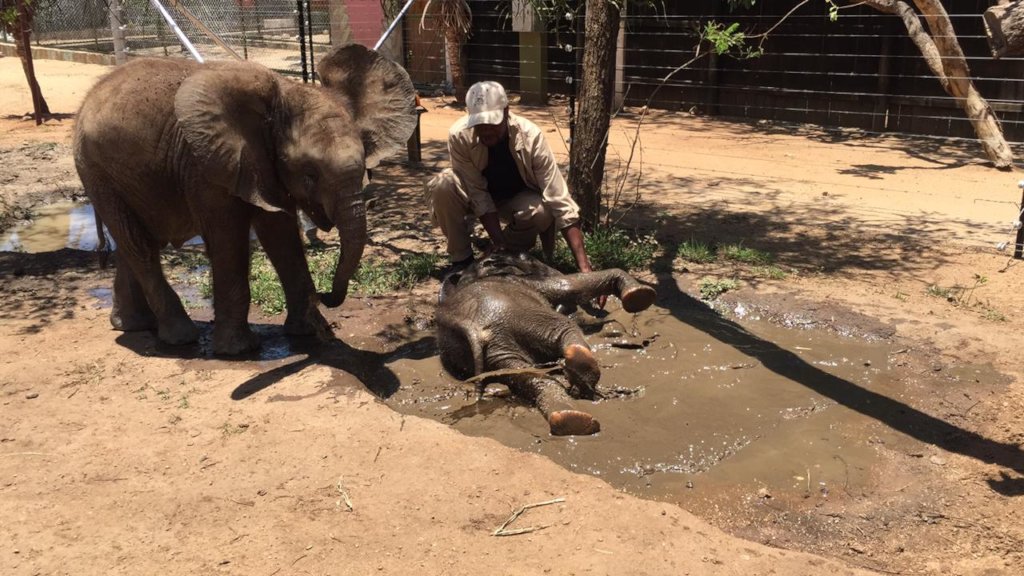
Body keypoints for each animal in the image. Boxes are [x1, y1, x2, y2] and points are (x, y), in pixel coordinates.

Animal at [72, 44, 417, 355]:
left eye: (364, 166)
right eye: (309, 174)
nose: (326, 293)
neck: (282, 97)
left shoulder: (264, 166)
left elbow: (281, 234)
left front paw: (308, 331)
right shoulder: (207, 165)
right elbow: (228, 238)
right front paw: (239, 350)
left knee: (137, 242)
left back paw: (131, 325)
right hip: (96, 170)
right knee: (139, 245)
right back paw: (181, 337)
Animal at [436, 252, 656, 436]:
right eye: (527, 257)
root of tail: (470, 326)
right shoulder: (533, 282)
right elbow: (570, 285)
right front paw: (640, 295)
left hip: (495, 348)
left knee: (522, 373)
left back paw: (570, 419)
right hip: (518, 313)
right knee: (562, 327)